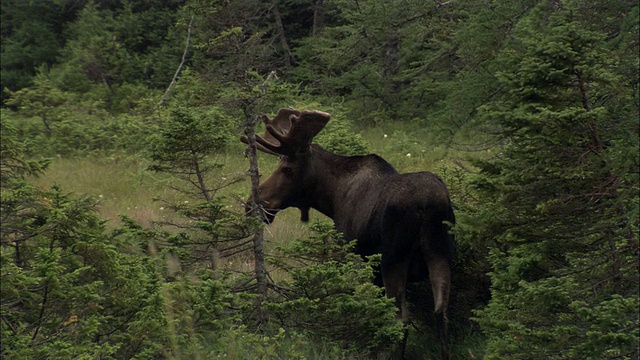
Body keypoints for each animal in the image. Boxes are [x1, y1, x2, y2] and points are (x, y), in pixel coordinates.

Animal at [241, 108, 456, 358]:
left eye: (287, 169)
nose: (251, 205)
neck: (332, 198)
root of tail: (427, 205)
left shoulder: (351, 254)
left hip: (393, 259)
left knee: (402, 319)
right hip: (440, 252)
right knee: (441, 313)